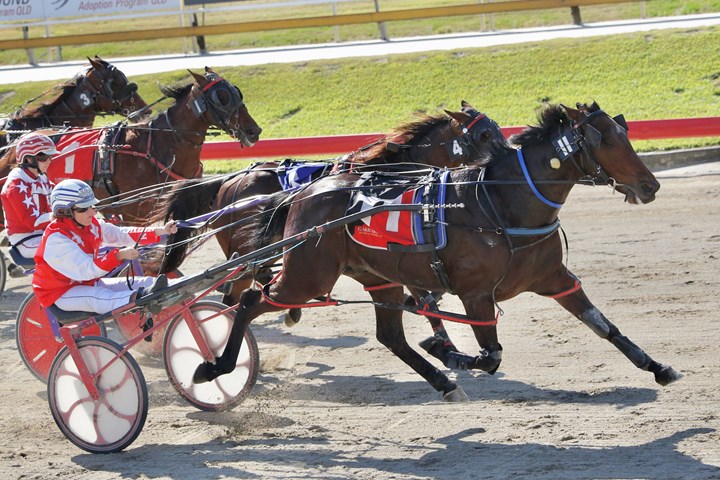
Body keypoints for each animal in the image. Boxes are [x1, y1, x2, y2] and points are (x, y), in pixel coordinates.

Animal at [158, 101, 506, 346]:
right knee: (237, 291)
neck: (387, 171)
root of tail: (229, 182)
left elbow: (422, 294)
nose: (508, 153)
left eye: (496, 129)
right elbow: (422, 294)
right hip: (247, 250)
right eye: (485, 134)